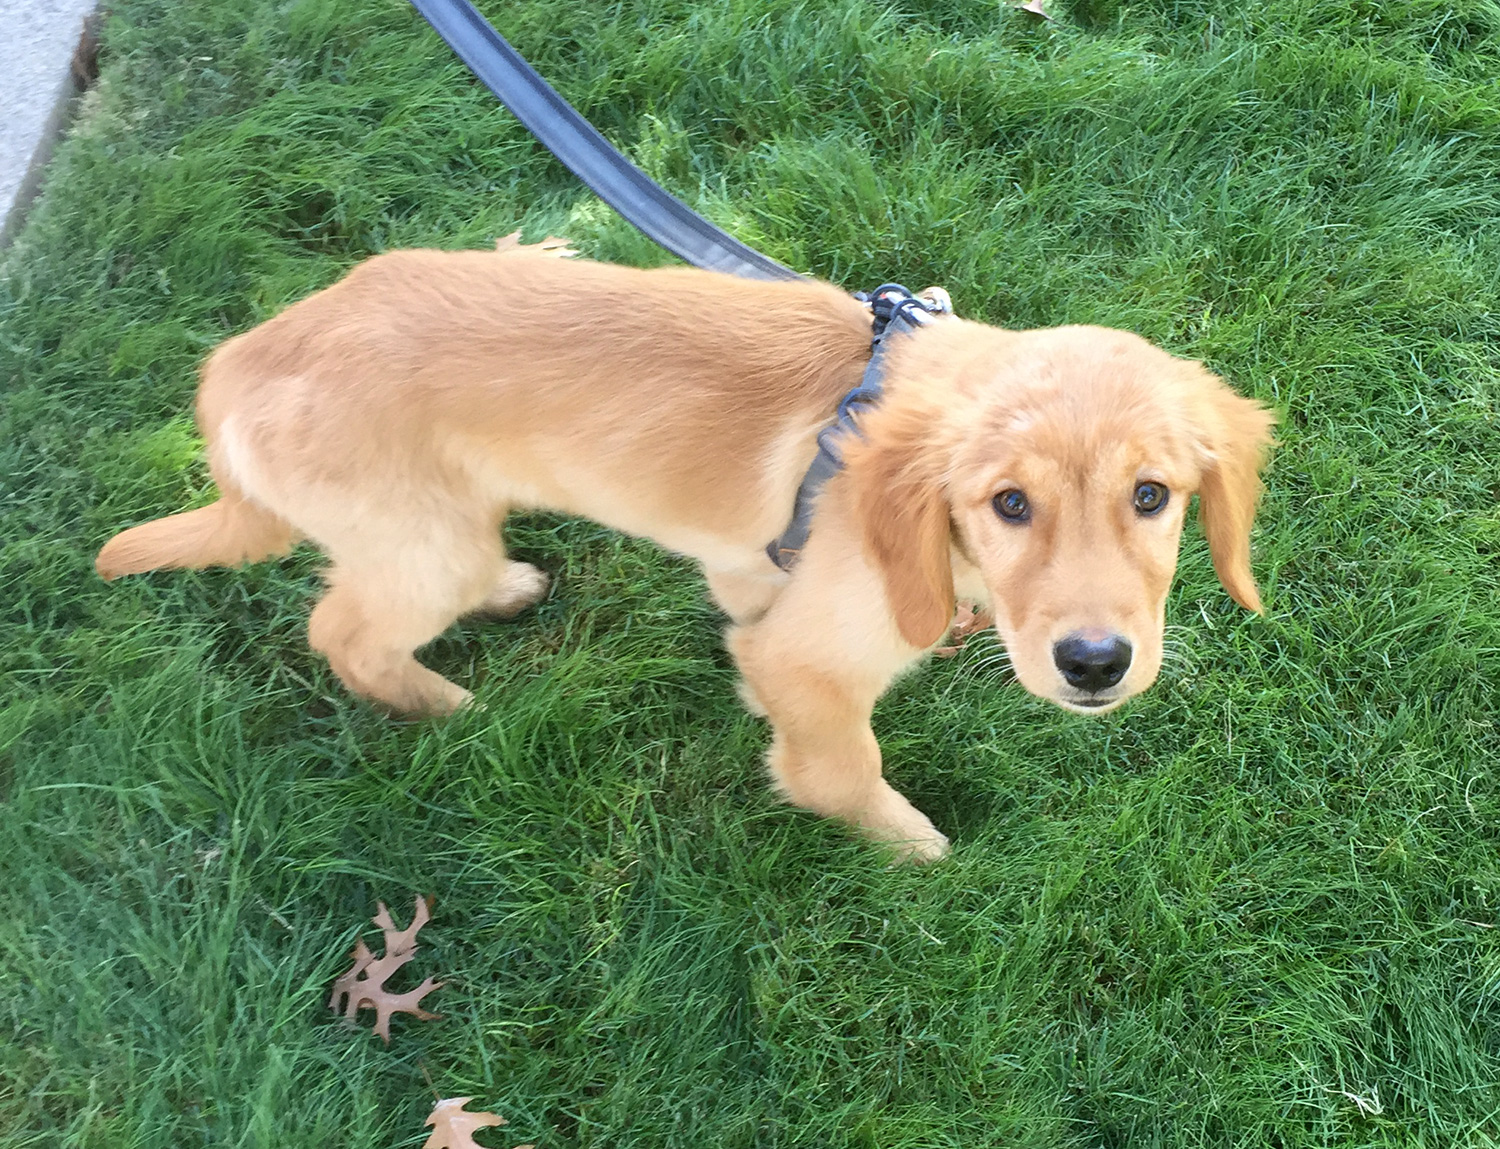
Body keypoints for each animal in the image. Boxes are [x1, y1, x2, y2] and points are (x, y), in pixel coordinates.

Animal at [99, 249, 1278, 864]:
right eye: (1009, 504)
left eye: (1151, 498)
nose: (1095, 664)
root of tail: (237, 362)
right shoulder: (816, 657)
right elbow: (841, 766)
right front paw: (908, 846)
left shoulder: (757, 579)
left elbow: (749, 620)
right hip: (421, 545)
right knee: (343, 630)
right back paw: (448, 709)